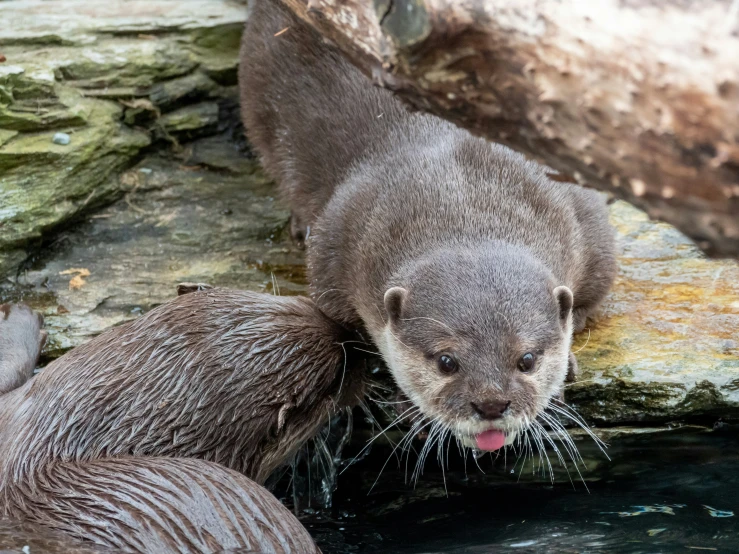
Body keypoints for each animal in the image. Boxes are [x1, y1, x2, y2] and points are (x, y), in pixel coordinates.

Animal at [240, 0, 616, 452]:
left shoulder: (585, 216)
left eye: (526, 359)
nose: (491, 404)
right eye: (446, 361)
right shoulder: (336, 247)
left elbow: (590, 299)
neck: (461, 191)